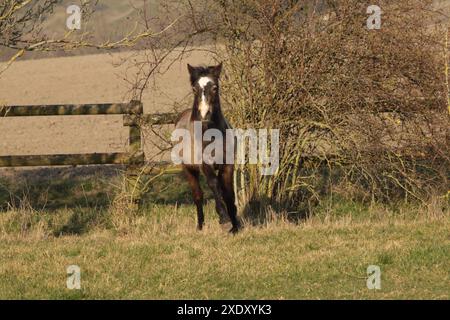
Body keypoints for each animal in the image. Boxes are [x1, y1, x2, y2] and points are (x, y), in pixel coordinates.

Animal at [174, 63, 241, 232]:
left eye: (215, 87)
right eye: (194, 88)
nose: (204, 115)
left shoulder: (227, 164)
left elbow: (228, 192)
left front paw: (235, 225)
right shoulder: (205, 165)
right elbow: (214, 185)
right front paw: (225, 220)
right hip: (189, 169)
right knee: (198, 195)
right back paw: (200, 225)